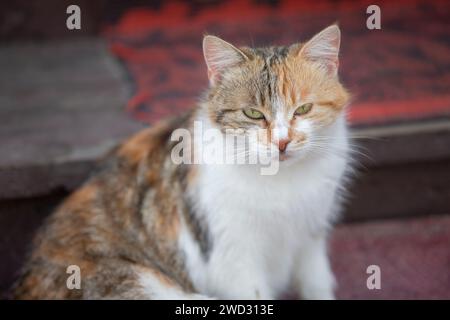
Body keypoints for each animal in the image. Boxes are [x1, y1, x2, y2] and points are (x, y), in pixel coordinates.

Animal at [12, 25, 352, 300]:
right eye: (253, 114)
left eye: (303, 109)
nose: (282, 142)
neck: (284, 180)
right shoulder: (233, 256)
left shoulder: (311, 236)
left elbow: (317, 284)